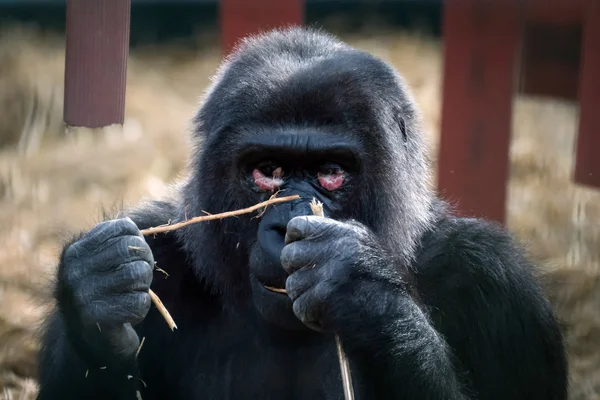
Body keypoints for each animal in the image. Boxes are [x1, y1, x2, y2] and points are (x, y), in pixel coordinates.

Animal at [36, 28, 568, 400]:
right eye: (268, 170)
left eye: (330, 173)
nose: (283, 221)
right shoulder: (162, 245)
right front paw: (96, 297)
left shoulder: (493, 280)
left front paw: (362, 287)